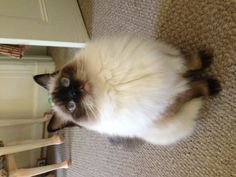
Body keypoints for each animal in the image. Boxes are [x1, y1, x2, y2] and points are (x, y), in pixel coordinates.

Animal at [33, 36, 221, 145]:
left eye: (65, 82)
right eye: (71, 106)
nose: (74, 91)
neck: (107, 84)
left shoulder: (168, 61)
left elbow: (189, 62)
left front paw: (203, 60)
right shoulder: (167, 105)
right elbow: (194, 89)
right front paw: (211, 86)